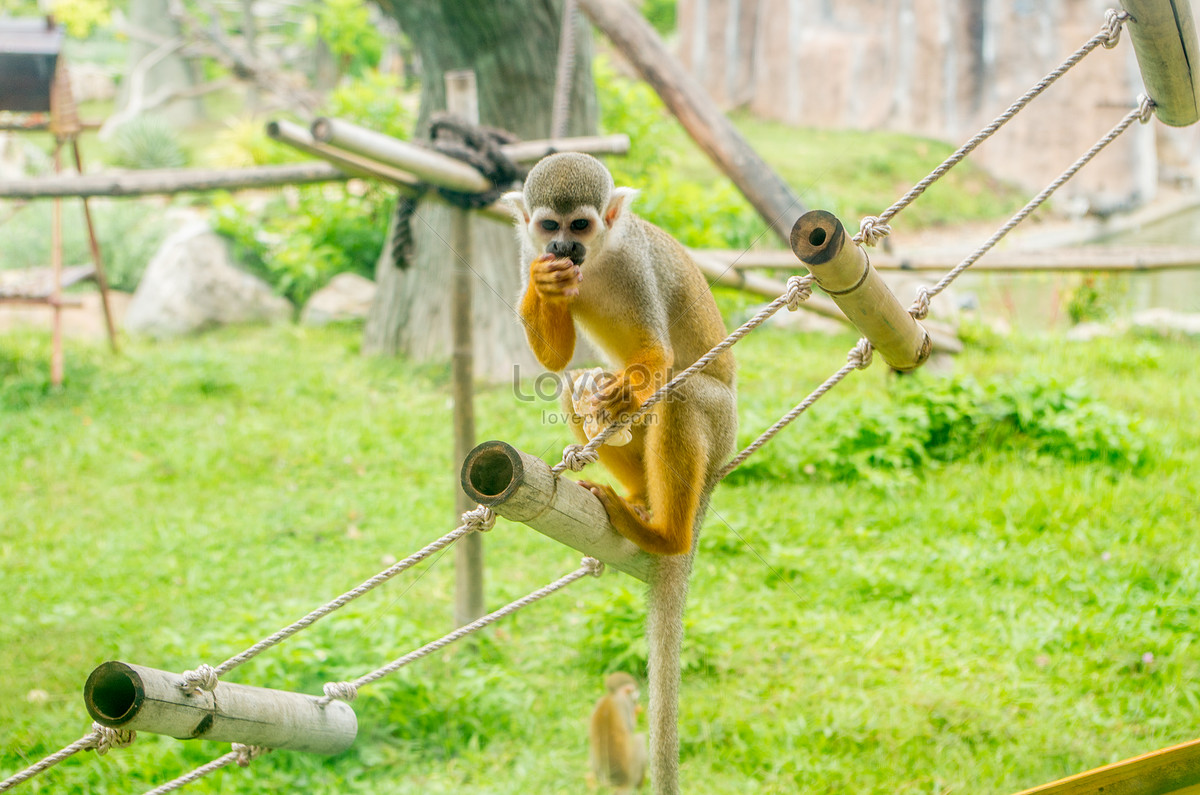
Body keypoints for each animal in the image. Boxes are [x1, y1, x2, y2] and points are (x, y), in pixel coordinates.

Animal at [501, 153, 734, 795]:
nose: (562, 247)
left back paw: (664, 533)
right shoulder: (526, 250)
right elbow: (553, 361)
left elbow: (657, 359)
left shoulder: (635, 266)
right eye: (549, 227)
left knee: (681, 394)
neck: (600, 260)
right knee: (569, 381)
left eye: (580, 225)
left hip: (722, 428)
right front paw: (546, 286)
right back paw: (634, 492)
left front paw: (619, 392)